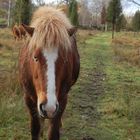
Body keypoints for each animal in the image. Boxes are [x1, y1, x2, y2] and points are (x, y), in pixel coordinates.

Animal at [14, 6, 80, 139]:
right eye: (35, 57)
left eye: (65, 59)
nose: (48, 108)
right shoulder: (28, 98)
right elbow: (35, 129)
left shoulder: (62, 99)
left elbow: (53, 132)